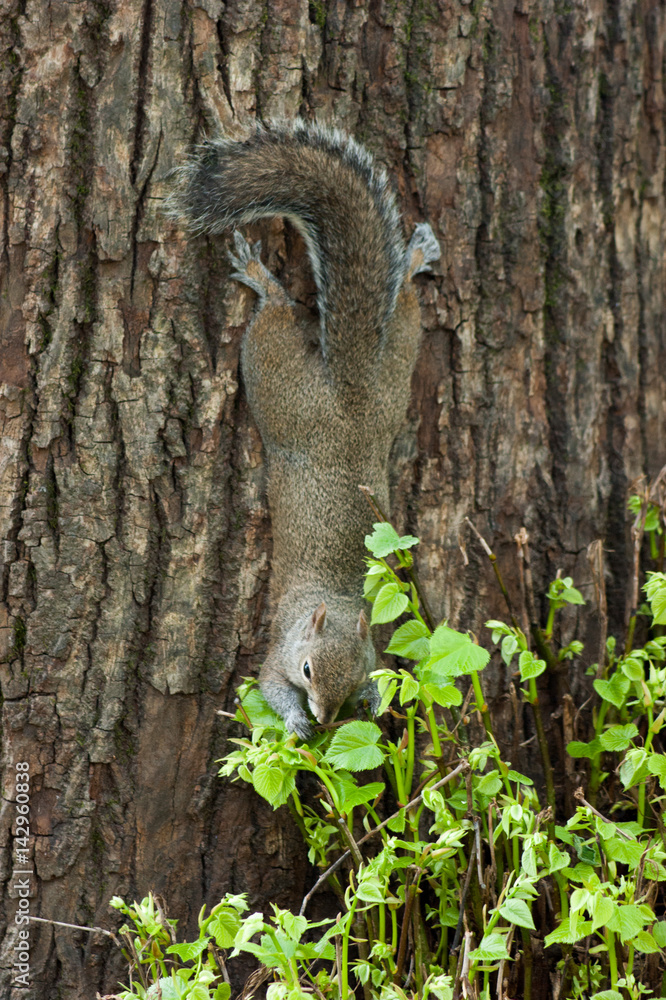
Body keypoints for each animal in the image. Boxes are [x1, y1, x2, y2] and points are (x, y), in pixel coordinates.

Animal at [173, 120, 440, 739]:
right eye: (308, 669)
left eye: (357, 672)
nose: (323, 717)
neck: (337, 599)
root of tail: (351, 391)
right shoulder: (276, 655)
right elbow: (269, 687)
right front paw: (294, 720)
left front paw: (373, 704)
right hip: (275, 378)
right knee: (276, 313)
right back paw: (261, 277)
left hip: (395, 371)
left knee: (404, 307)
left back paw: (415, 255)